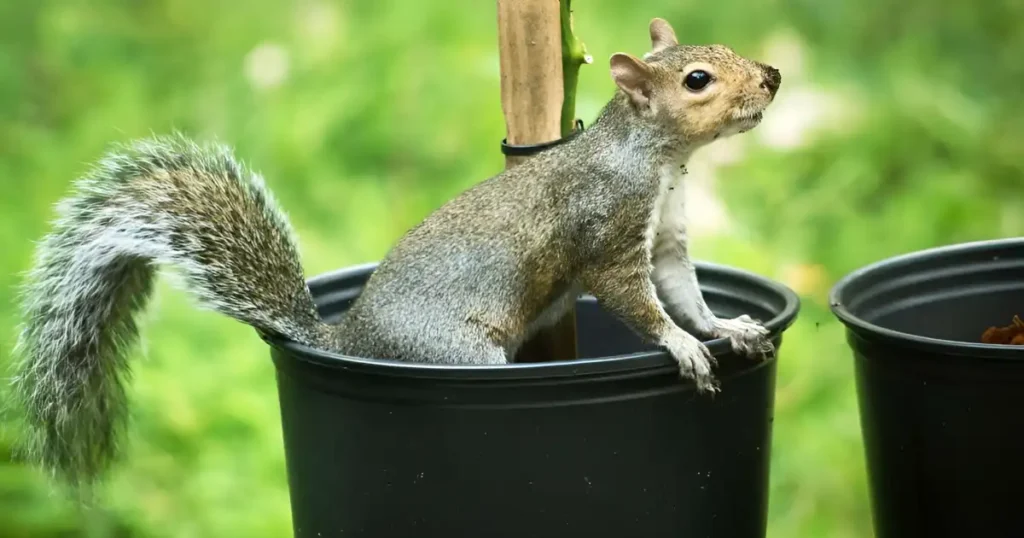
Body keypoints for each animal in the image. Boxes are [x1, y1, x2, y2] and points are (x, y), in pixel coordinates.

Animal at [8, 17, 782, 489]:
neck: (660, 160)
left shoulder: (667, 241)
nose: (772, 75)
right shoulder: (607, 233)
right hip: (459, 352)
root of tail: (349, 337)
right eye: (698, 80)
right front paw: (681, 348)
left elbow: (685, 294)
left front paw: (727, 328)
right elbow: (638, 303)